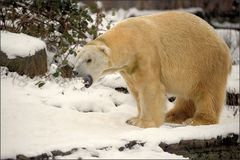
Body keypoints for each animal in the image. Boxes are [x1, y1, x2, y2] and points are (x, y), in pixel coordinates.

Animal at [72, 11, 231, 128]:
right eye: (77, 59)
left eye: (89, 60)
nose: (75, 71)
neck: (130, 38)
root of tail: (222, 42)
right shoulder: (128, 68)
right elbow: (135, 90)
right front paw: (133, 118)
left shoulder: (146, 54)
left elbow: (149, 88)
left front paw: (143, 123)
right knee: (187, 94)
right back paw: (173, 115)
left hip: (205, 62)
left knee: (207, 92)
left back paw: (197, 120)